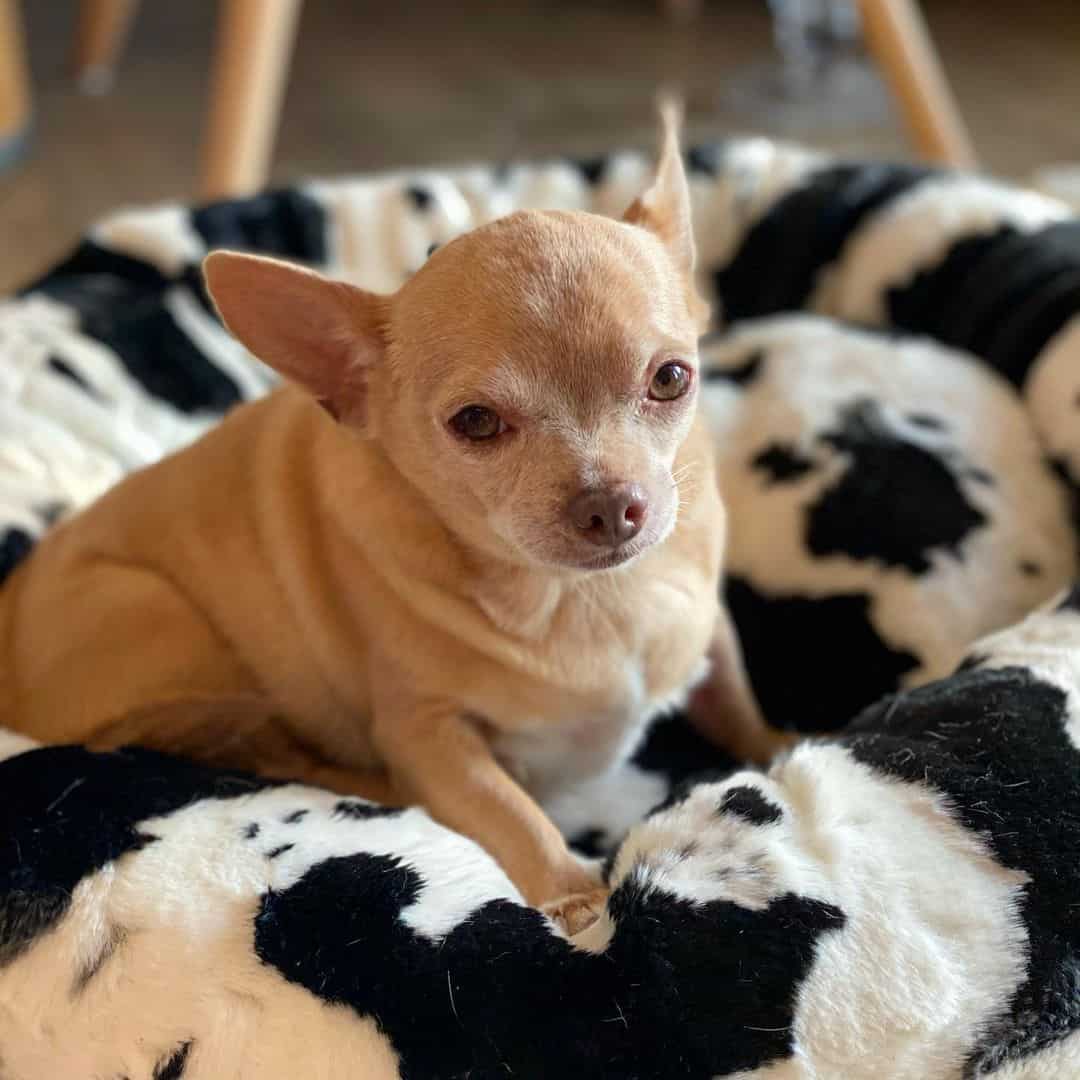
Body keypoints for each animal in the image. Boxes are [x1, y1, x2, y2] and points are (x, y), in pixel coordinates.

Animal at [0, 105, 786, 924]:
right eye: (476, 423)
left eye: (671, 379)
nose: (609, 504)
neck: (582, 598)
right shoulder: (430, 738)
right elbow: (512, 814)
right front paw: (581, 903)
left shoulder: (708, 629)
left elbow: (738, 704)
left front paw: (785, 750)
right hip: (160, 622)